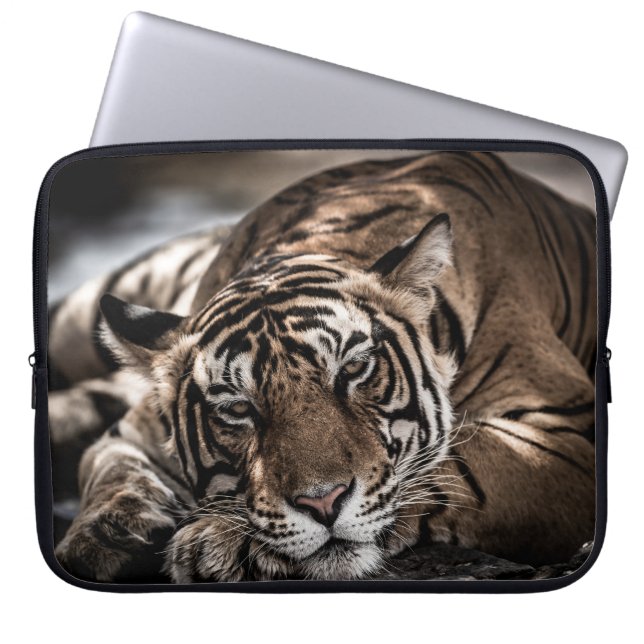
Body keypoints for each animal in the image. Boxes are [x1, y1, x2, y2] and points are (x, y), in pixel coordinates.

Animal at [51, 151, 597, 582]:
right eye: (237, 409)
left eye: (353, 370)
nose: (323, 503)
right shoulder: (135, 429)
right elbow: (107, 467)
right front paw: (106, 535)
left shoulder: (566, 431)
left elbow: (457, 464)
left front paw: (220, 541)